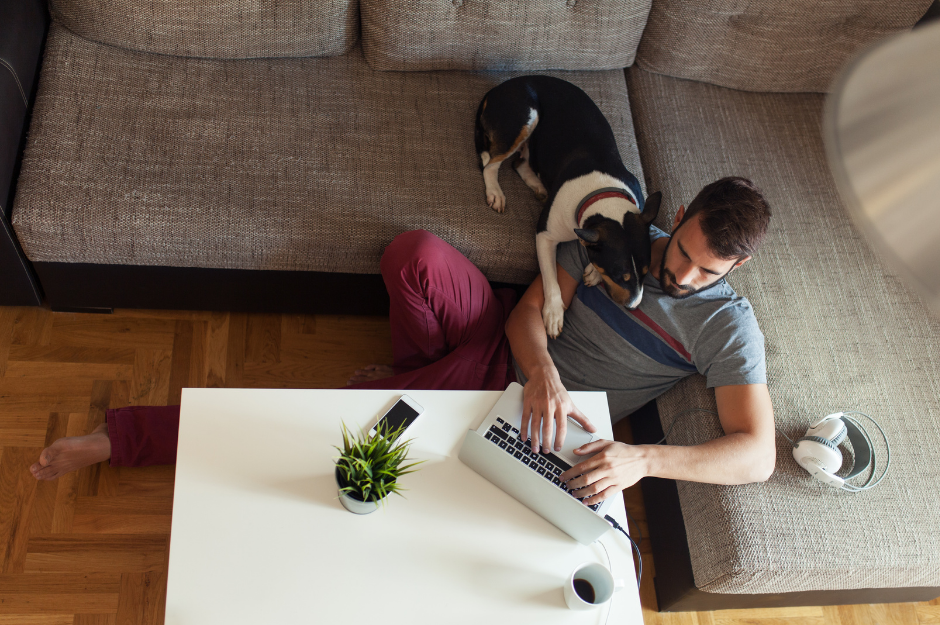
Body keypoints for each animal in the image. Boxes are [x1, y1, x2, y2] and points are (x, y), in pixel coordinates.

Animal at [474, 76, 656, 338]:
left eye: (645, 273)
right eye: (619, 276)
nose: (633, 306)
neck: (602, 195)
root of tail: (503, 85)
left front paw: (593, 271)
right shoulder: (544, 235)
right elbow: (550, 279)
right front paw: (553, 314)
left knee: (519, 163)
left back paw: (538, 185)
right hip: (526, 117)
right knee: (491, 165)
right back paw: (496, 193)